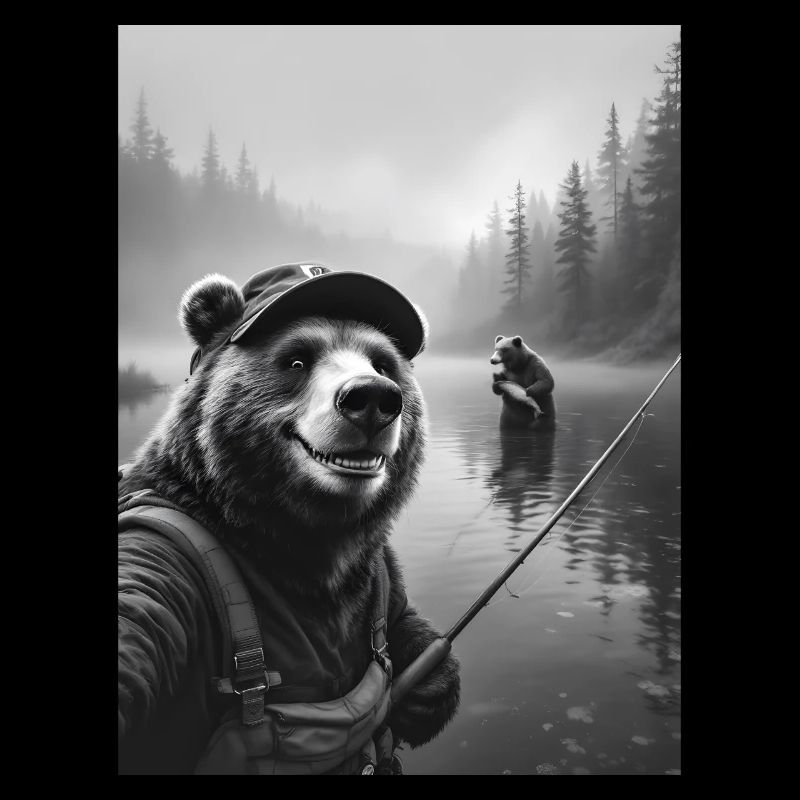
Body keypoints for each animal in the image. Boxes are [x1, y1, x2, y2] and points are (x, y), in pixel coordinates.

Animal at [118, 266, 460, 774]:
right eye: (297, 360)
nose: (372, 397)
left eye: (383, 363)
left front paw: (430, 686)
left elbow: (400, 614)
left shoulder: (373, 563)